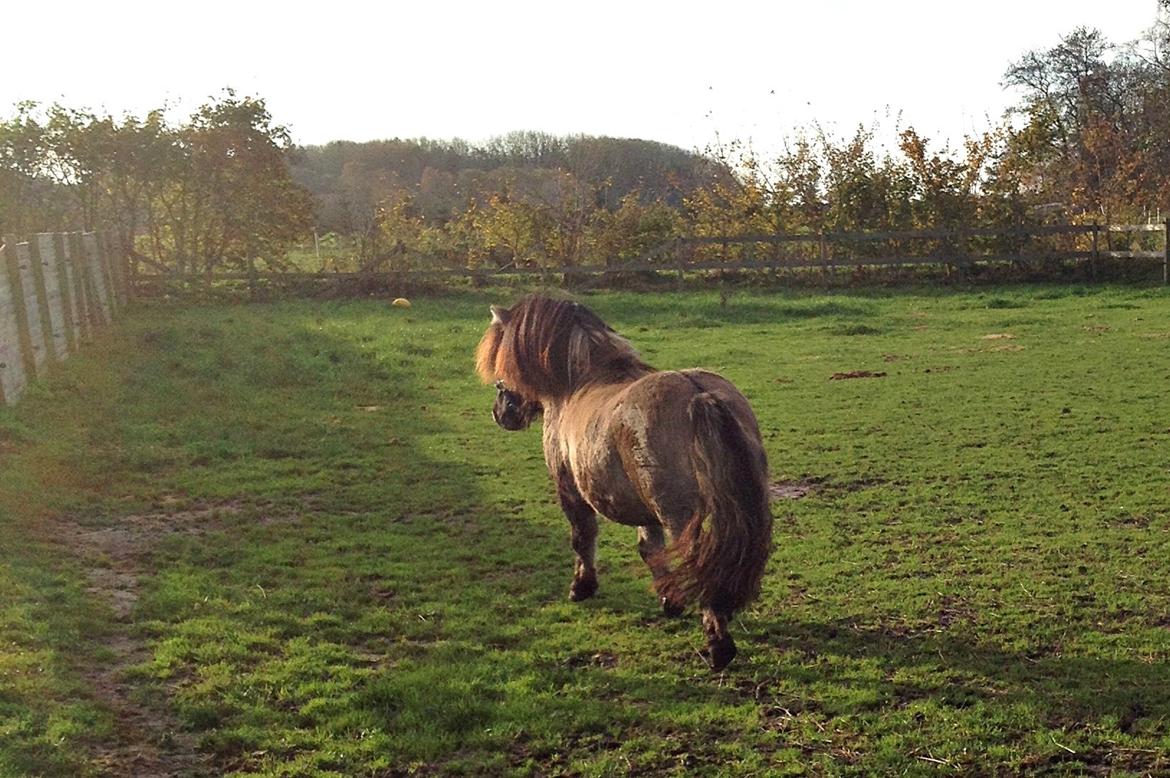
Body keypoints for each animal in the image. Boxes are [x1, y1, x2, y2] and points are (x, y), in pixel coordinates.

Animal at [470, 294, 772, 669]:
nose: (501, 413)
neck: (576, 384)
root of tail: (700, 395)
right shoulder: (644, 509)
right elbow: (650, 550)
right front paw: (669, 600)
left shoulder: (570, 491)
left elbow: (582, 538)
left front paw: (581, 588)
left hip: (680, 515)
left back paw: (718, 645)